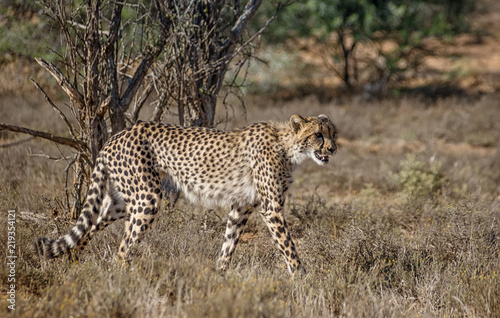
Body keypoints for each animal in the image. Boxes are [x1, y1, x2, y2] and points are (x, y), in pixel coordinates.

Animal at [37, 115, 338, 276]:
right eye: (318, 135)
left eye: (334, 134)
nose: (333, 149)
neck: (288, 146)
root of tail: (118, 134)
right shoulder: (271, 208)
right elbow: (288, 245)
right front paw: (302, 277)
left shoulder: (241, 207)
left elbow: (229, 243)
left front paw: (219, 275)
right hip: (147, 198)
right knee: (122, 251)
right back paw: (127, 282)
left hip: (122, 201)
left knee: (90, 226)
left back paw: (74, 264)